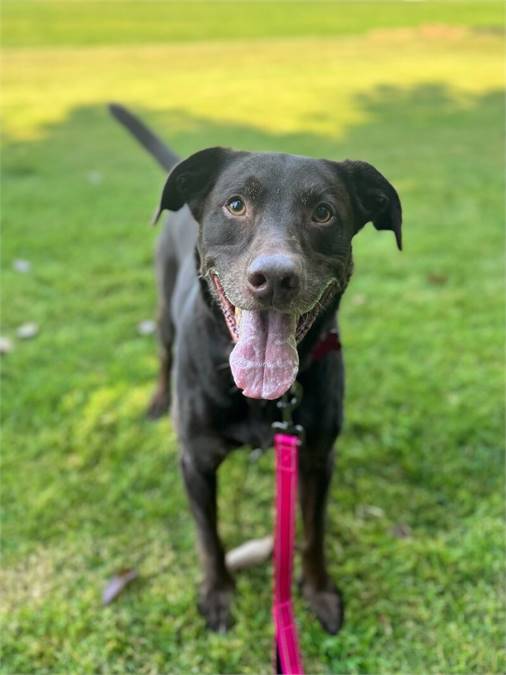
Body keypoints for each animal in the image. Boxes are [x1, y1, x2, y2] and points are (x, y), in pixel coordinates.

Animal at [110, 103, 404, 636]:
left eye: (323, 212)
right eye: (235, 204)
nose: (275, 277)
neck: (265, 395)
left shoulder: (317, 459)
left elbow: (313, 532)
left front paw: (319, 591)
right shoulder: (196, 462)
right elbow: (210, 538)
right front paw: (218, 593)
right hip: (162, 312)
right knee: (162, 352)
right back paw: (158, 400)